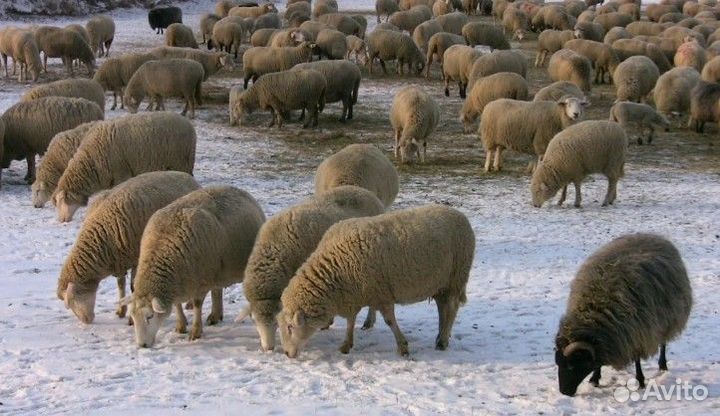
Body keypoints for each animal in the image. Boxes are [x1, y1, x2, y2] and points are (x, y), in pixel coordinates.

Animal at [53, 112, 196, 223]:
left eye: (61, 201)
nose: (62, 221)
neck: (91, 161)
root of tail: (188, 123)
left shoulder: (121, 173)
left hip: (182, 161)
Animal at [57, 171, 200, 324]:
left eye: (74, 299)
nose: (87, 321)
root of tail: (184, 175)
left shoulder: (135, 258)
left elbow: (133, 288)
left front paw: (131, 318)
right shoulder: (118, 260)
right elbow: (121, 285)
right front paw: (121, 310)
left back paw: (190, 304)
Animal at [125, 186, 265, 347]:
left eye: (149, 317)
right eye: (133, 317)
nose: (142, 345)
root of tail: (239, 190)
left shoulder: (201, 281)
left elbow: (197, 306)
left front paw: (195, 332)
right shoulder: (180, 281)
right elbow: (177, 304)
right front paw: (180, 326)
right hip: (216, 269)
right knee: (217, 290)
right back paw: (215, 315)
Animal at [277, 204, 475, 358]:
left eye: (290, 327)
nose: (287, 354)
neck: (335, 267)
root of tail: (459, 214)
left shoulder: (381, 294)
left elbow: (389, 321)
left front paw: (402, 347)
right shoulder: (355, 294)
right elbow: (351, 321)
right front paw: (346, 344)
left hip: (456, 276)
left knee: (451, 308)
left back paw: (443, 340)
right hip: (441, 283)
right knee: (442, 308)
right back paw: (440, 336)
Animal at [555, 234, 692, 396]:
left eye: (571, 365)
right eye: (558, 363)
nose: (564, 392)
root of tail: (653, 235)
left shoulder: (638, 332)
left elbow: (637, 359)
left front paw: (640, 381)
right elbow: (598, 361)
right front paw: (595, 379)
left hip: (668, 319)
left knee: (663, 343)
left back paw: (663, 365)